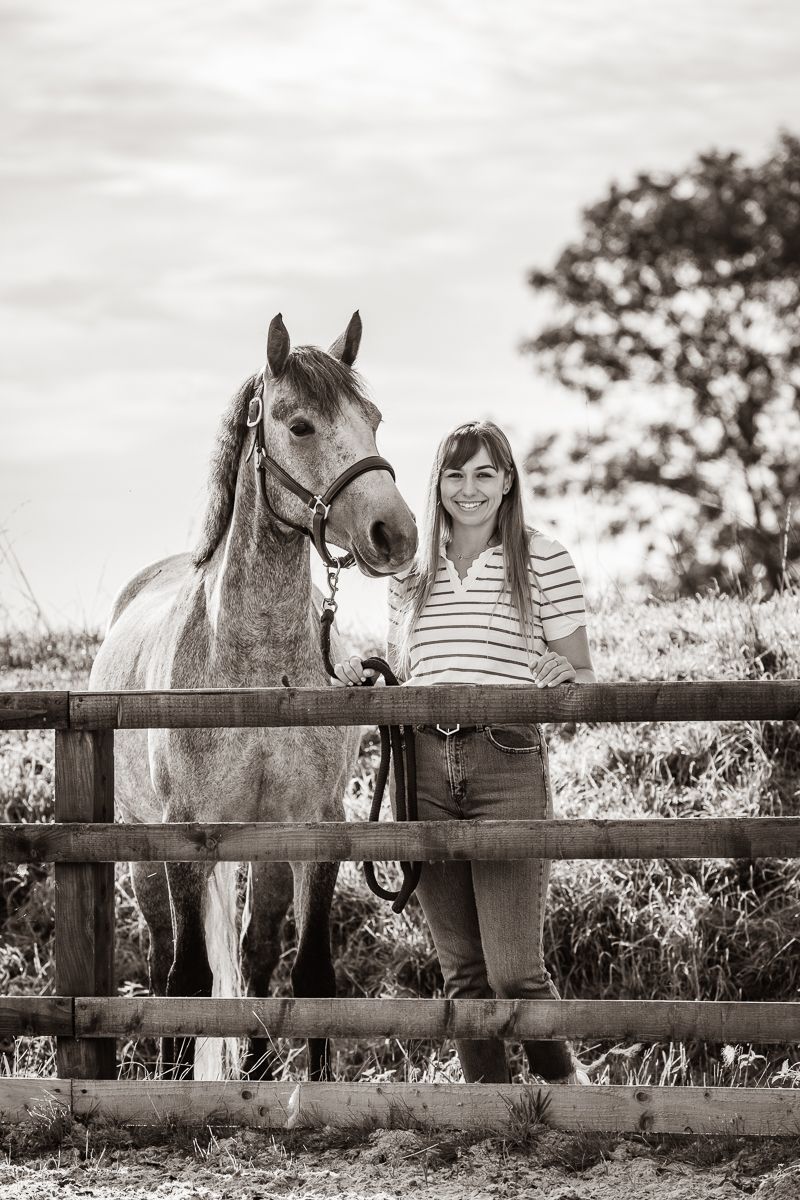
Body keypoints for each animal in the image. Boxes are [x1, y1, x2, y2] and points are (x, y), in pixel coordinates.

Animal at [89, 312, 417, 1081]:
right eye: (299, 425)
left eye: (373, 419)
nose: (395, 533)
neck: (257, 668)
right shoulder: (185, 837)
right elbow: (187, 979)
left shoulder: (315, 830)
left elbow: (308, 975)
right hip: (145, 854)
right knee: (166, 962)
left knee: (256, 953)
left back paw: (262, 1072)